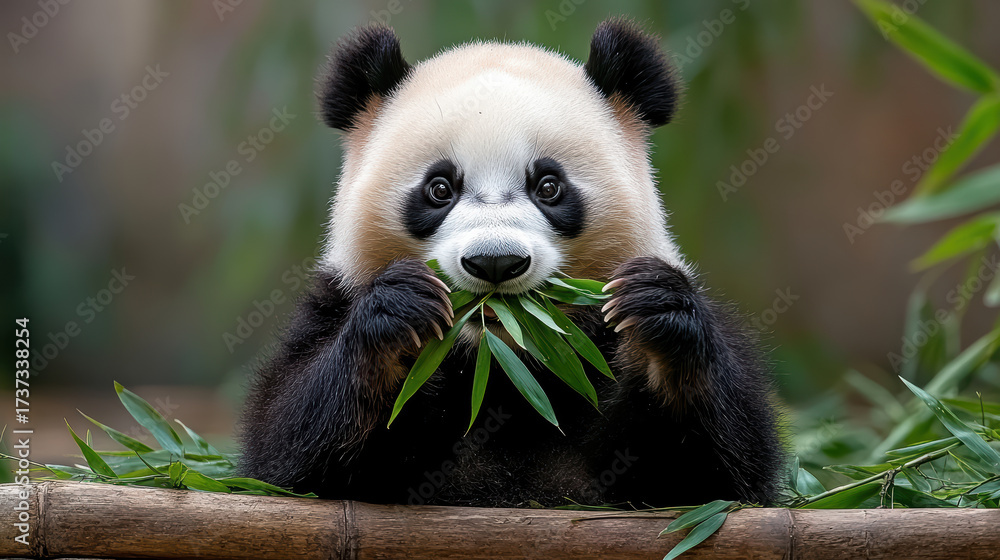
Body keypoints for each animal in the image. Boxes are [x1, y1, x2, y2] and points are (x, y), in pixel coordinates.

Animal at [238, 18, 782, 508]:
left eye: (549, 186)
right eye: (440, 188)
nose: (495, 262)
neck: (502, 361)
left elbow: (715, 471)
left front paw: (654, 308)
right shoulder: (337, 298)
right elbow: (289, 448)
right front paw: (402, 310)